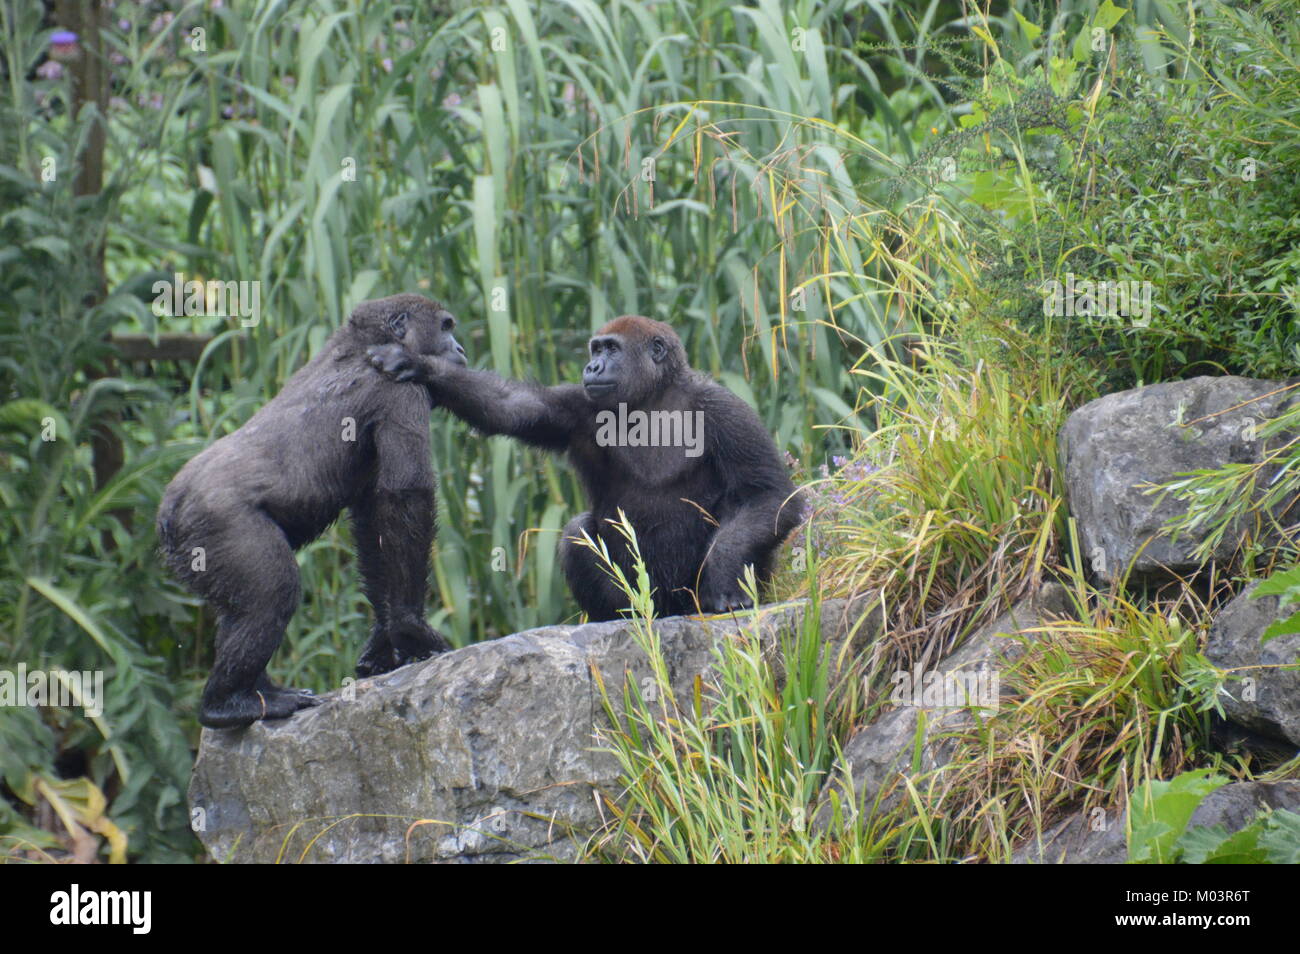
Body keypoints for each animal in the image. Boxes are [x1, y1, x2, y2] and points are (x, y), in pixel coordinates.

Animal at [157, 295, 465, 727]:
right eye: (446, 327)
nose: (461, 349)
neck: (361, 344)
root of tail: (168, 514)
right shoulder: (400, 389)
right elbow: (406, 496)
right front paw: (410, 628)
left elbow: (373, 522)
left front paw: (384, 638)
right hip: (212, 526)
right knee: (273, 593)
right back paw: (227, 704)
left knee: (241, 609)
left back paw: (257, 692)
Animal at [371, 317, 806, 623]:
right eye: (596, 348)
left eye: (611, 349)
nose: (593, 366)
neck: (654, 398)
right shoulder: (578, 407)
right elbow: (509, 405)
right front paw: (421, 365)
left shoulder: (724, 408)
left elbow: (767, 495)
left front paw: (723, 570)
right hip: (651, 601)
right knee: (576, 531)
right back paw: (620, 616)